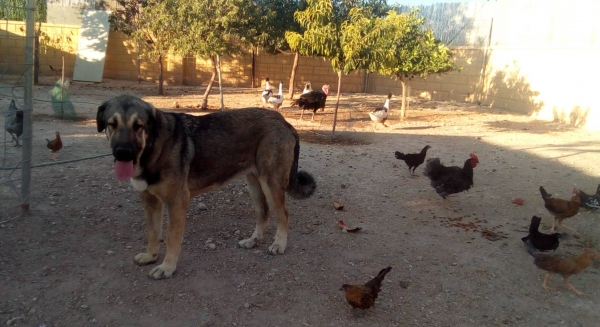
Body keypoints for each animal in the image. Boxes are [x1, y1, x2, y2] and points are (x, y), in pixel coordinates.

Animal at [96, 94, 316, 280]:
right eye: (111, 124)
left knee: (283, 215)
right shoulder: (150, 201)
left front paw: (167, 267)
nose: (123, 152)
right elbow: (152, 232)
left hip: (270, 183)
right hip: (254, 182)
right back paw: (253, 240)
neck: (154, 148)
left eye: (138, 126)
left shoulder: (177, 202)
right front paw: (151, 256)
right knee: (264, 212)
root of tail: (284, 121)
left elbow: (171, 238)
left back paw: (279, 244)